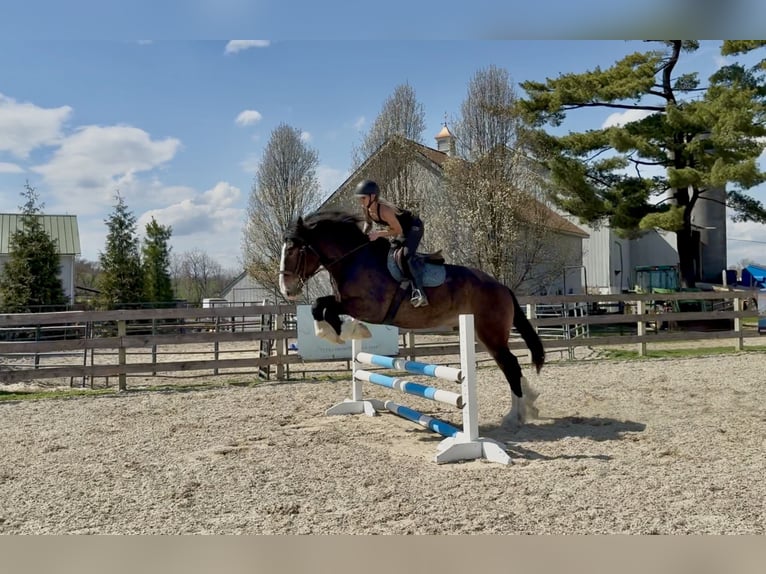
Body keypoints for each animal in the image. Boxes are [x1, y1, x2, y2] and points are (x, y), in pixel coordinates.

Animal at [279, 209, 545, 426]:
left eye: (292, 250)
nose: (286, 290)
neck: (354, 261)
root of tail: (501, 286)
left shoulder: (369, 307)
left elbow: (322, 306)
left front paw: (343, 332)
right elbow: (320, 307)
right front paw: (338, 331)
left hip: (491, 334)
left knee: (510, 365)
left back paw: (515, 415)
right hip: (485, 335)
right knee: (508, 365)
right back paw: (528, 405)